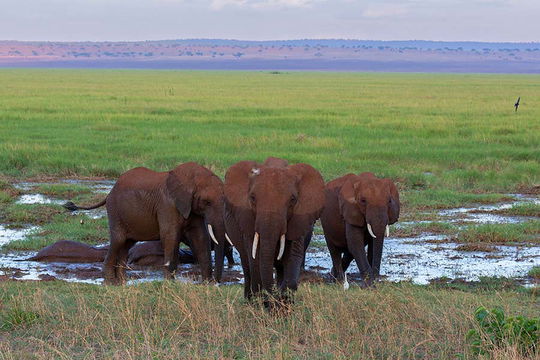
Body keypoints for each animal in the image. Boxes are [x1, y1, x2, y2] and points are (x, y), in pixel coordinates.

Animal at [63, 162, 228, 284]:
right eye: (207, 202)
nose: (217, 281)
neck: (189, 178)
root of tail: (109, 192)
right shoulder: (168, 205)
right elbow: (170, 237)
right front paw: (170, 283)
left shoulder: (191, 209)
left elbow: (200, 237)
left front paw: (206, 284)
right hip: (115, 212)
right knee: (118, 241)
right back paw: (110, 281)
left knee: (127, 244)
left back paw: (122, 281)